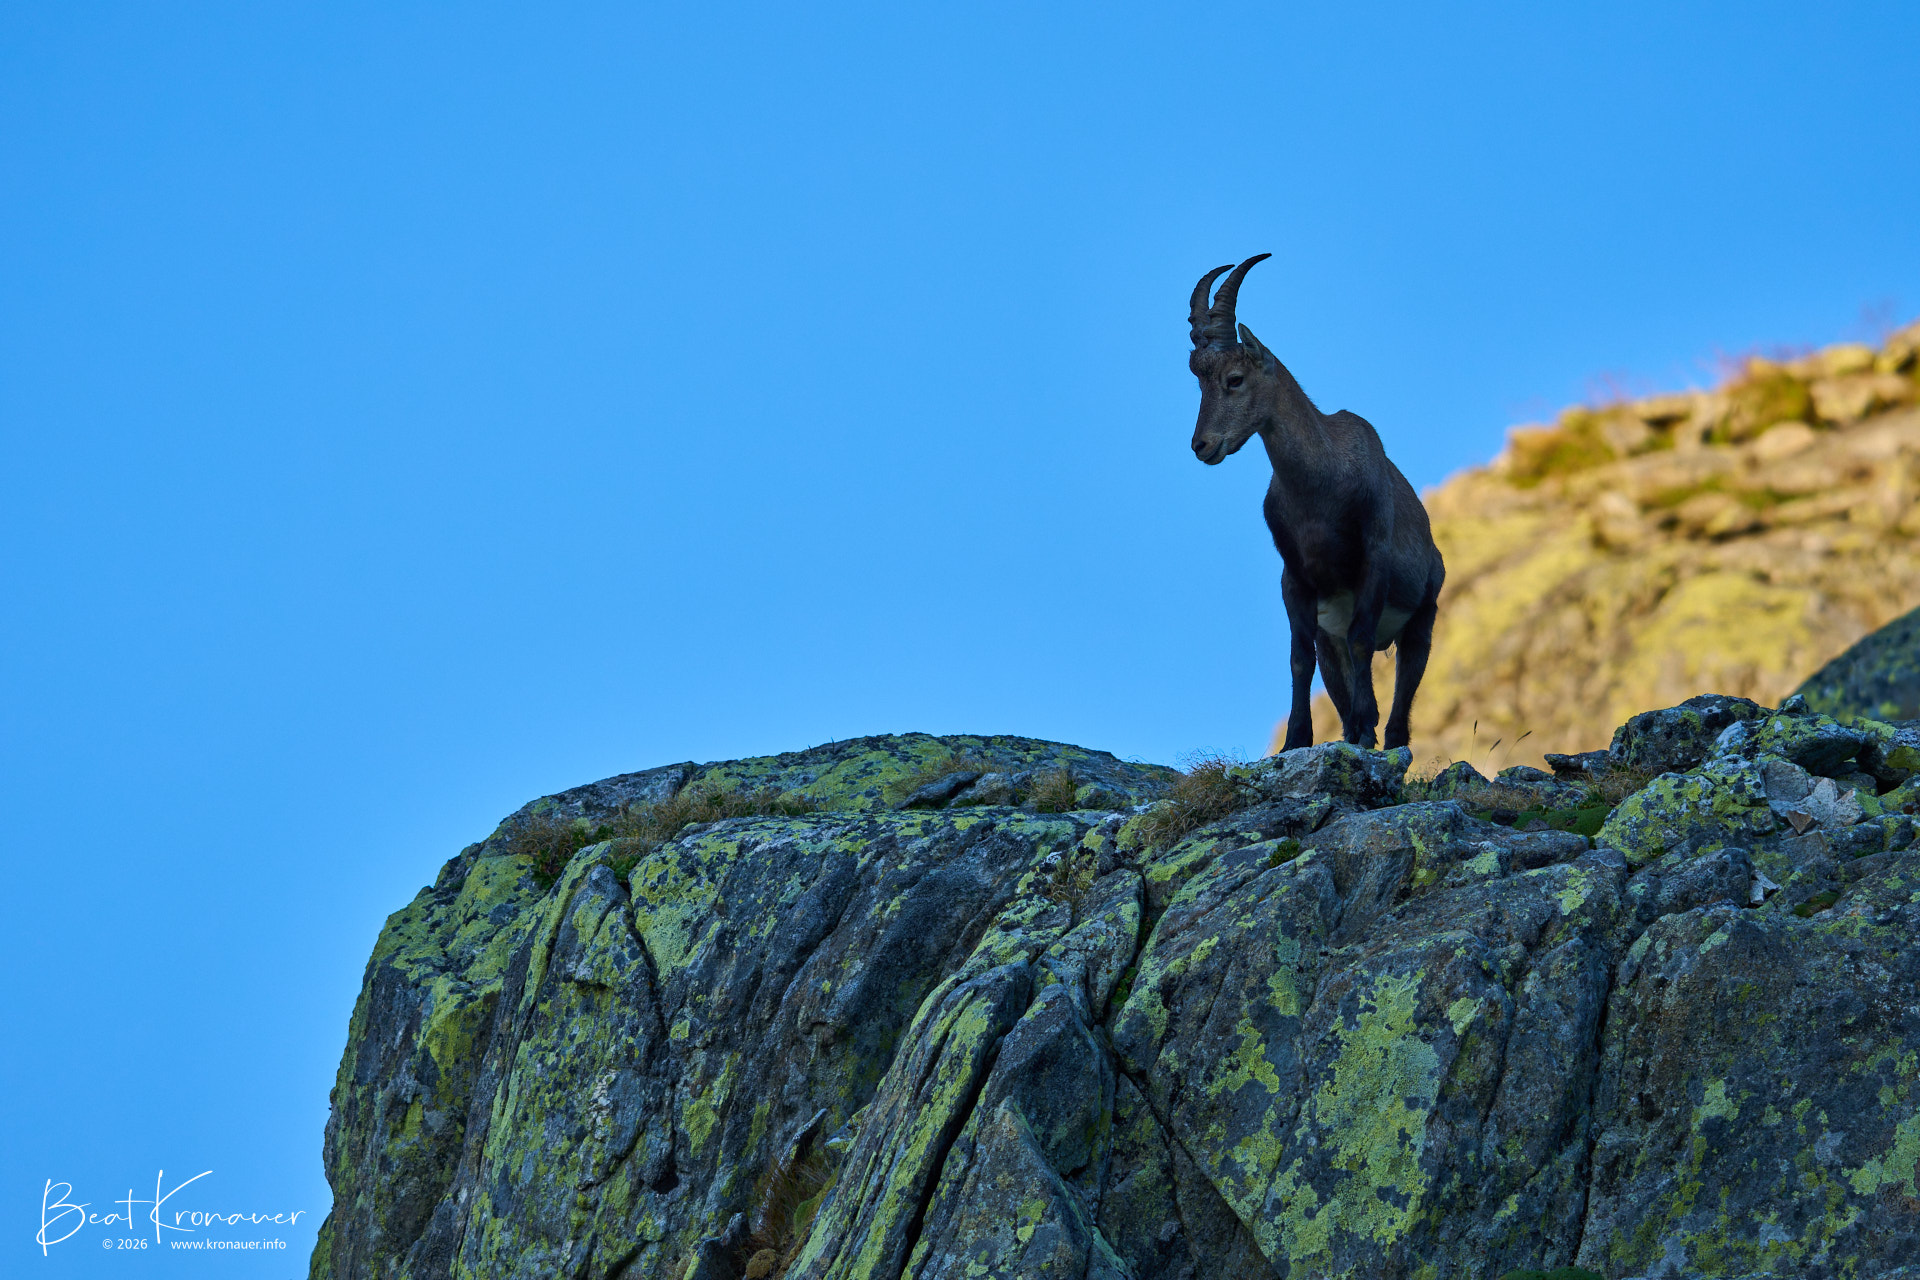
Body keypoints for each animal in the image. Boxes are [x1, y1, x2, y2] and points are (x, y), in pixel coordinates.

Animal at [1187, 254, 1445, 751]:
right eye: (1199, 382)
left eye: (1234, 379)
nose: (1201, 446)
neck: (1321, 487)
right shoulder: (1296, 580)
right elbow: (1297, 657)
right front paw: (1295, 740)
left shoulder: (1372, 560)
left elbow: (1362, 639)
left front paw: (1364, 725)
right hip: (1332, 639)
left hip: (1422, 617)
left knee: (1404, 693)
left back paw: (1385, 737)